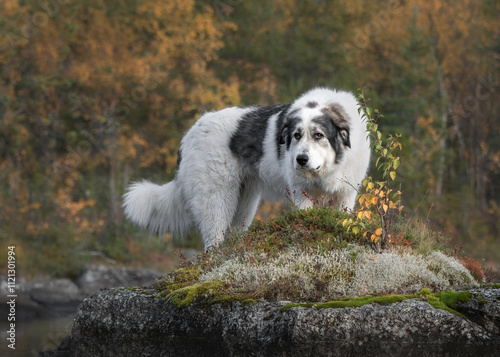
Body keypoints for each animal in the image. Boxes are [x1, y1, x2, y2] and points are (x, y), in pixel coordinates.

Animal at [123, 87, 370, 249]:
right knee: (213, 239)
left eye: (318, 135)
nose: (300, 159)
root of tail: (190, 133)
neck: (327, 169)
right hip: (217, 199)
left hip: (245, 202)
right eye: (296, 135)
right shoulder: (301, 193)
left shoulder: (346, 194)